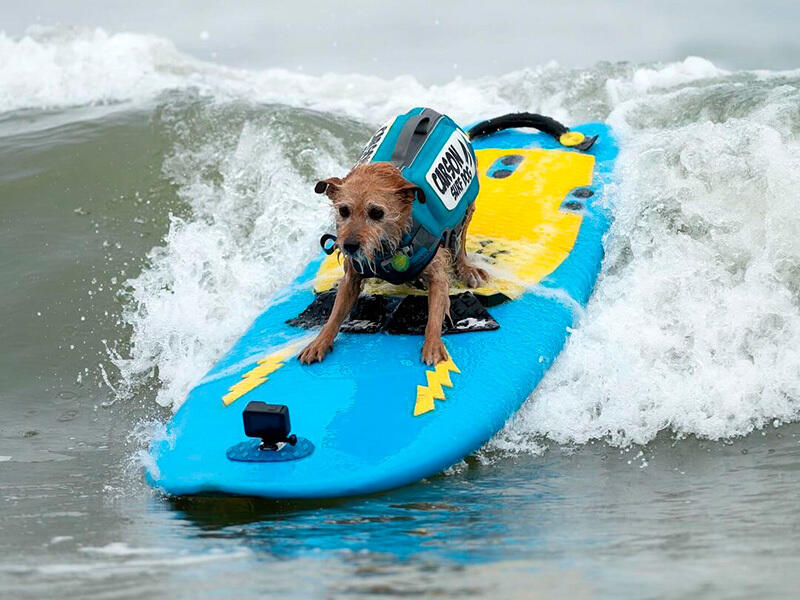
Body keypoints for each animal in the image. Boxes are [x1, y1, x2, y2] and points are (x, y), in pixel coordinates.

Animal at [298, 161, 488, 366]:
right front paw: (319, 342)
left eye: (376, 213)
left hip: (467, 205)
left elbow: (435, 313)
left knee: (460, 240)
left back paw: (468, 270)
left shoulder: (436, 271)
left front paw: (433, 344)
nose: (349, 246)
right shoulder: (352, 277)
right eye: (343, 211)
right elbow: (335, 314)